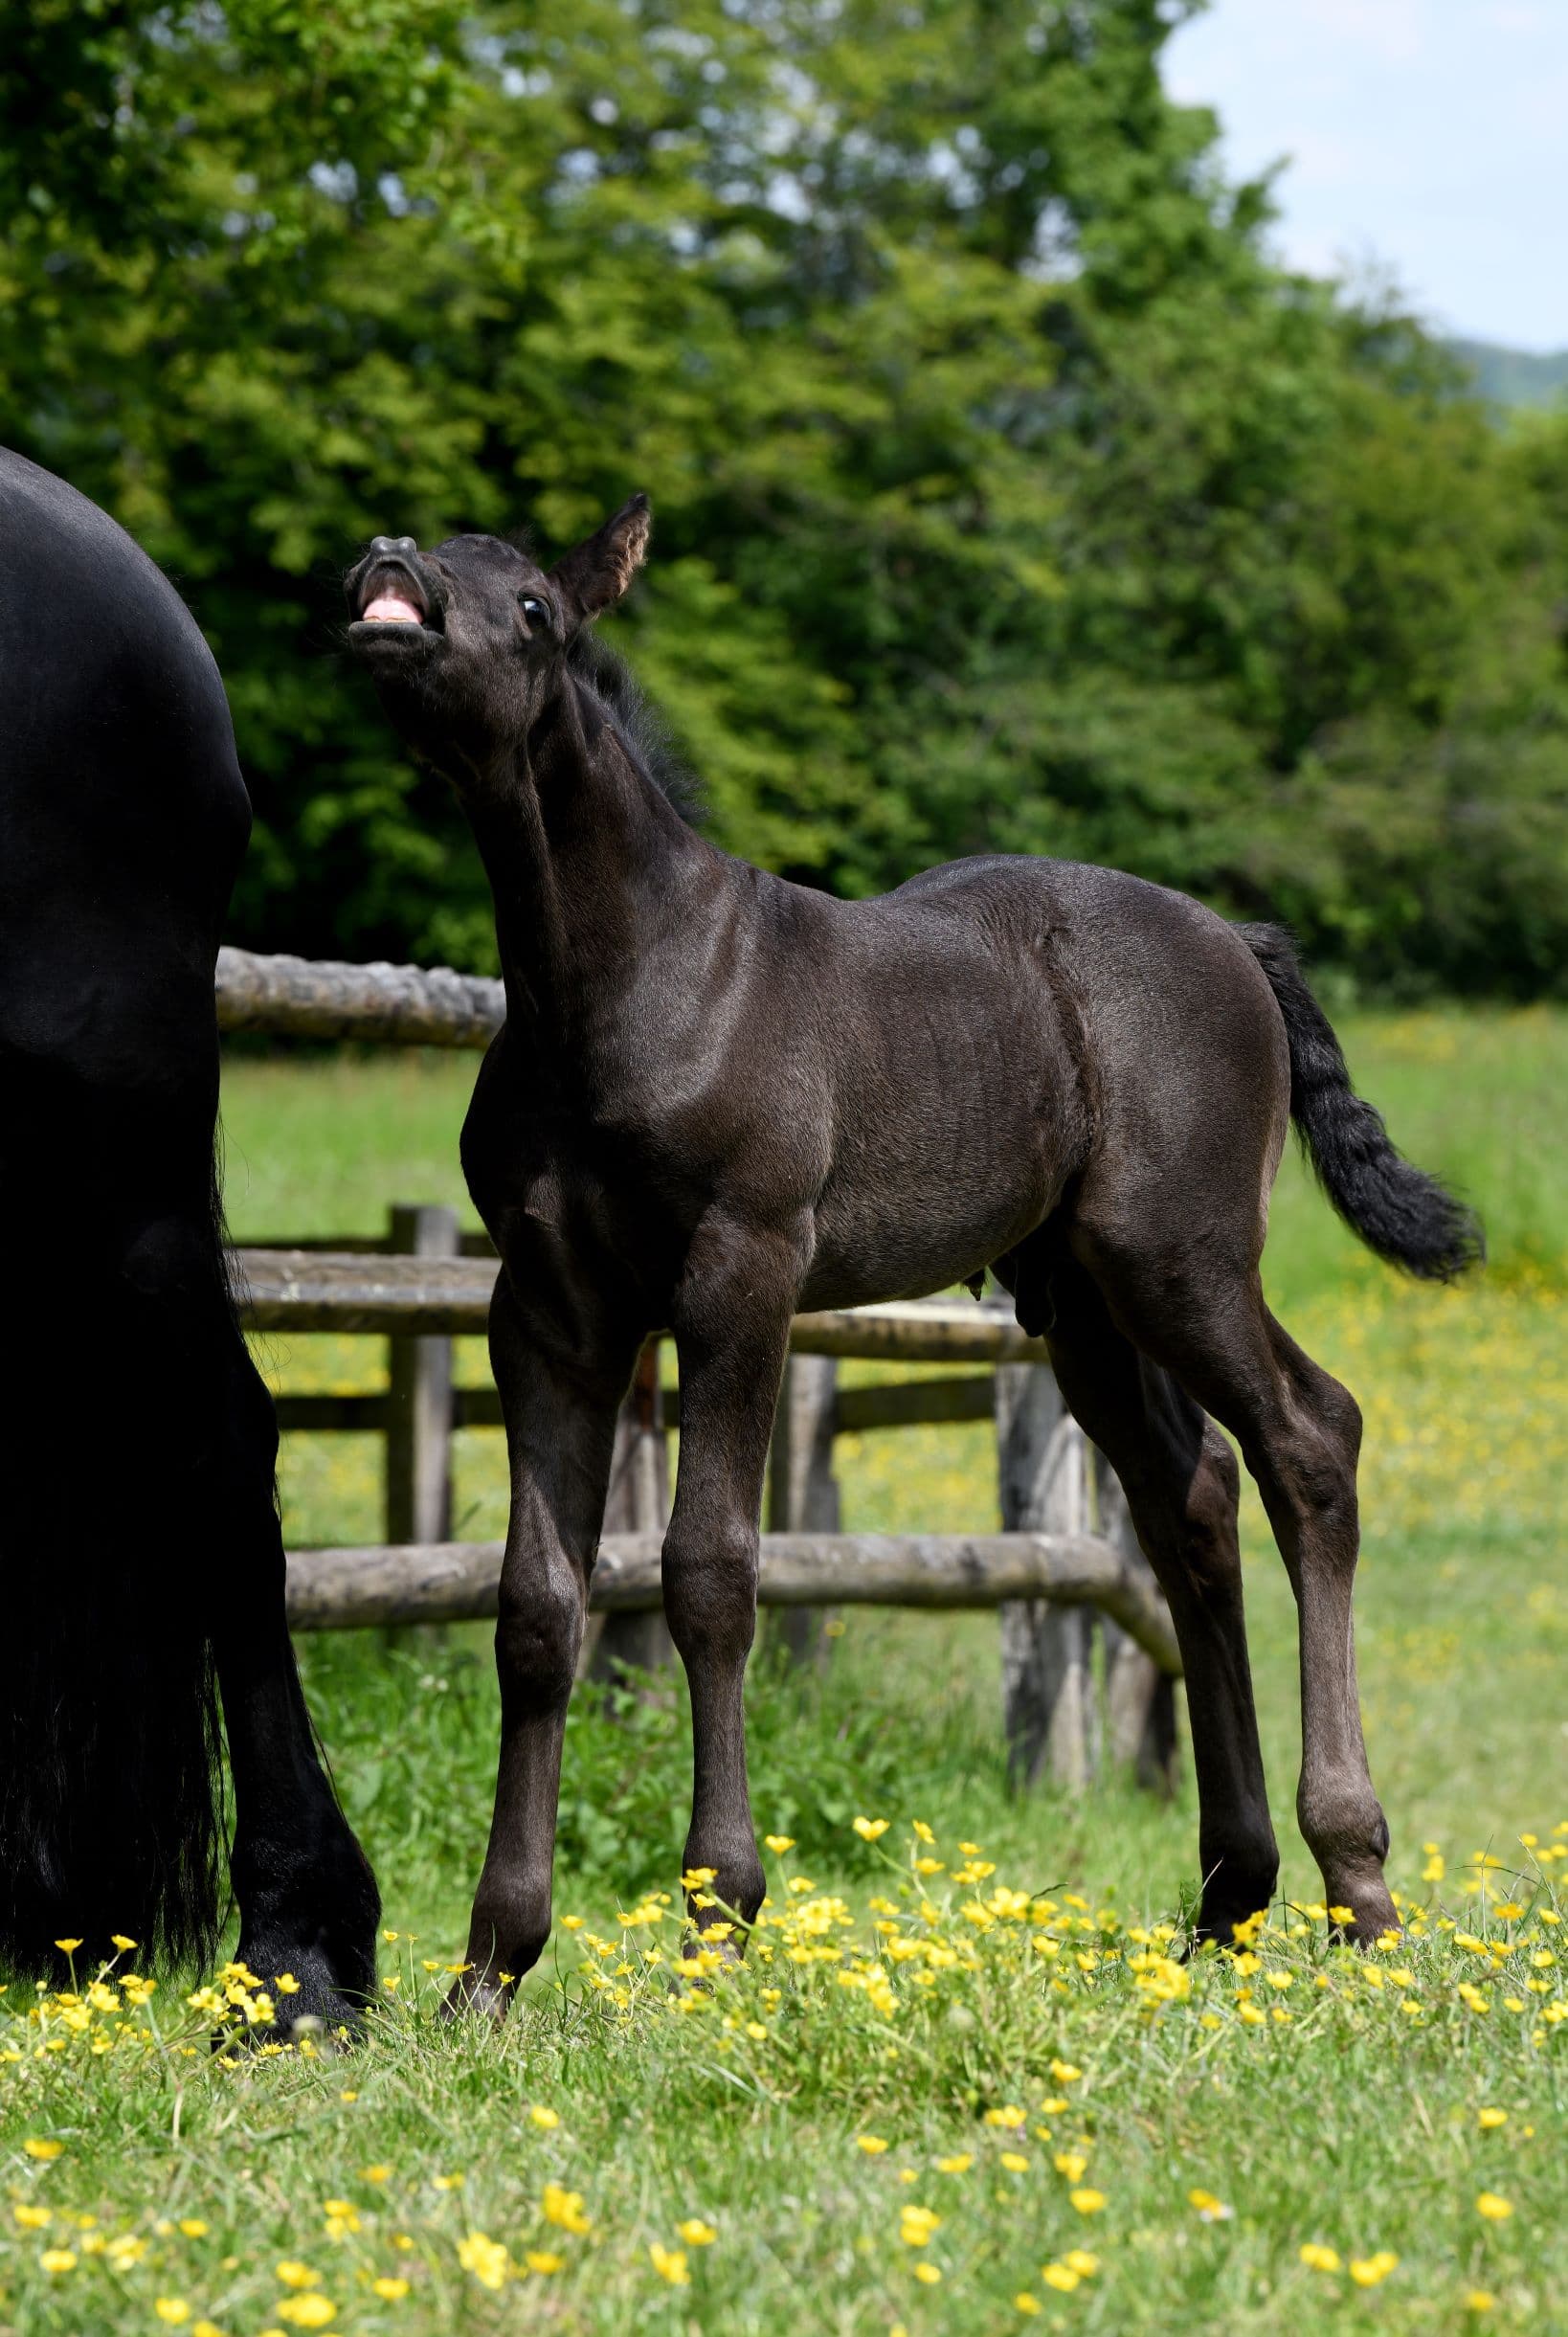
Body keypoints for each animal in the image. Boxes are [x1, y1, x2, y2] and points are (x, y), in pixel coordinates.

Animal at [344, 498, 1481, 2015]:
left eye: (533, 606)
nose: (390, 567)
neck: (629, 978)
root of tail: (1238, 942)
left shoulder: (742, 1274)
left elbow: (711, 1571)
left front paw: (719, 1920)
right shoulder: (544, 1307)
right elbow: (536, 1606)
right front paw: (489, 1968)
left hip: (1180, 1256)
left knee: (1311, 1438)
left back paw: (1358, 1887)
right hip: (1083, 1298)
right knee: (1189, 1497)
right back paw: (1228, 1898)